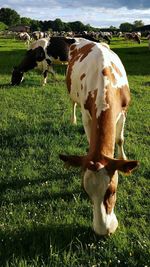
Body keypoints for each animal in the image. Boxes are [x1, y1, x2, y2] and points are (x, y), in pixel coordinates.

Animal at [50, 38, 138, 237]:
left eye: (112, 191)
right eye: (85, 192)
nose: (103, 231)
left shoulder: (124, 112)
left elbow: (120, 139)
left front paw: (123, 157)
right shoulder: (86, 114)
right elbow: (90, 140)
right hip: (73, 93)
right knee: (73, 103)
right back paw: (72, 119)